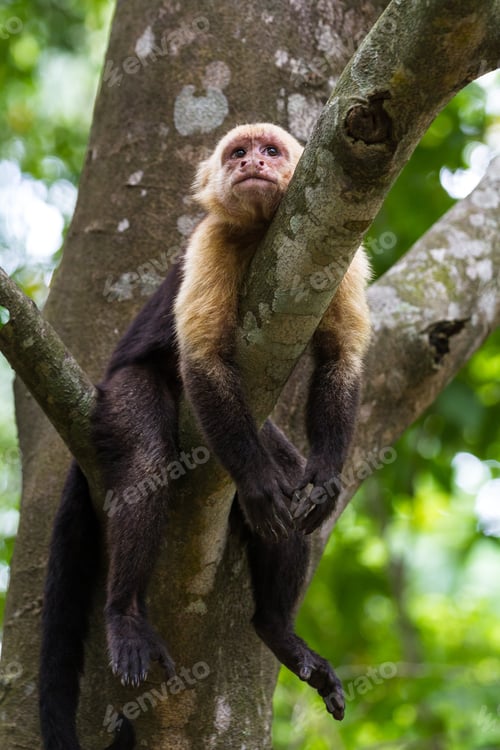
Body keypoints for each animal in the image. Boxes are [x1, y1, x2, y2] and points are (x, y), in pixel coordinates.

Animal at [39, 123, 371, 750]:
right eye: (237, 153)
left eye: (270, 152)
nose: (250, 165)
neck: (264, 230)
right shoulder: (210, 242)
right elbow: (204, 363)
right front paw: (259, 486)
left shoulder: (345, 255)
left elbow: (340, 358)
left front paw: (324, 476)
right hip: (120, 393)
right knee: (146, 464)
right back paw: (124, 614)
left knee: (286, 482)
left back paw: (276, 629)